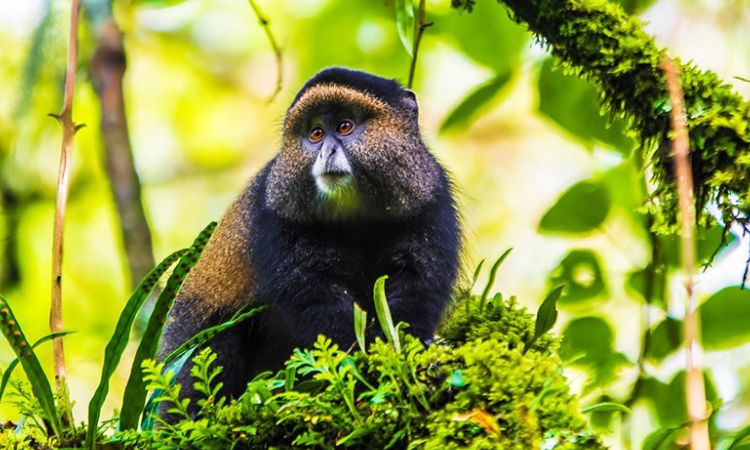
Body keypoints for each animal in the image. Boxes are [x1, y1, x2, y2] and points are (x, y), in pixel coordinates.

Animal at [158, 67, 461, 411]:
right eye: (315, 134)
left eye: (344, 126)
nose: (327, 151)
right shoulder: (278, 216)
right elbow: (314, 294)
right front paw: (356, 360)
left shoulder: (430, 201)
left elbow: (415, 282)